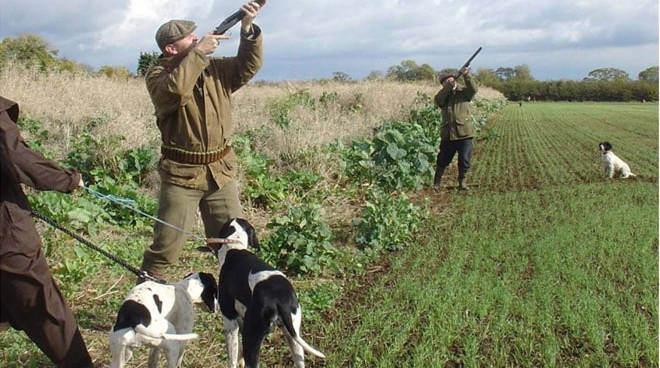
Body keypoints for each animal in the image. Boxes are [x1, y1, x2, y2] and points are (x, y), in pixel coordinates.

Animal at [205, 218, 326, 368]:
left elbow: (232, 359)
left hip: (252, 338)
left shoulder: (230, 321)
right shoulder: (242, 320)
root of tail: (279, 299)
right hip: (293, 337)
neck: (234, 248)